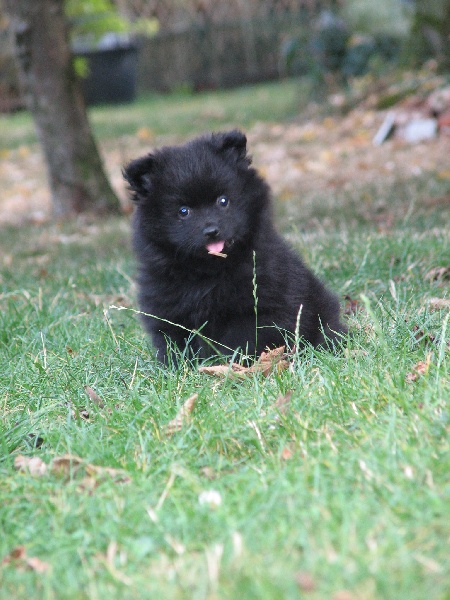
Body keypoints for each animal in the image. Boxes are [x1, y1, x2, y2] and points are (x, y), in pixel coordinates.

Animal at [121, 130, 346, 360]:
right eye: (183, 211)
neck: (206, 274)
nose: (211, 230)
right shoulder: (169, 311)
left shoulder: (254, 309)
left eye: (223, 201)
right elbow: (176, 344)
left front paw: (232, 364)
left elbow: (239, 342)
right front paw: (181, 365)